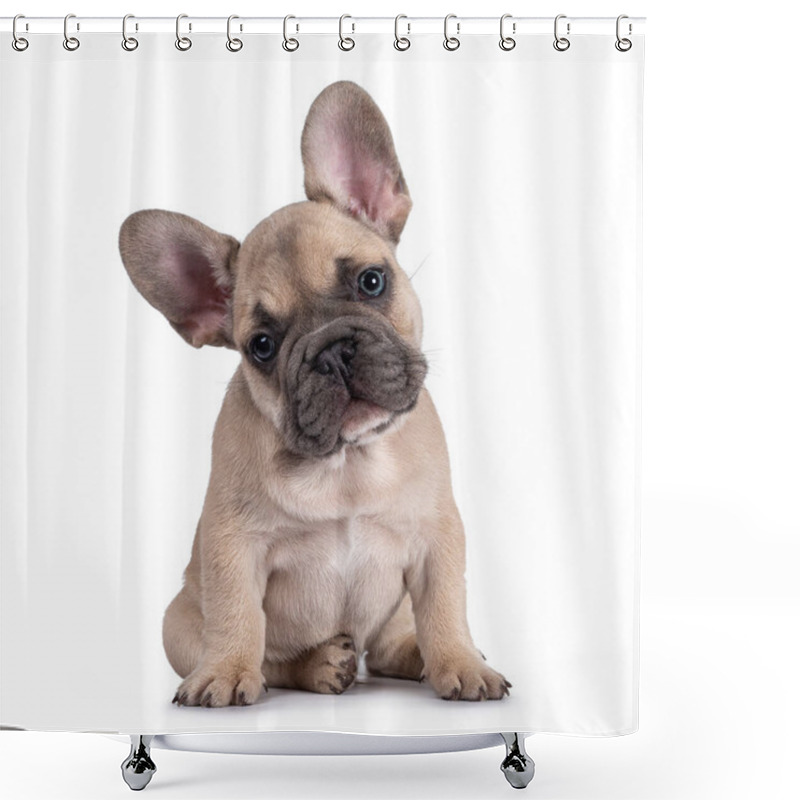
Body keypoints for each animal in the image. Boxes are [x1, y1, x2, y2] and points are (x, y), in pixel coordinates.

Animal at [120, 81, 506, 708]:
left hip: (396, 611)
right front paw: (226, 671)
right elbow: (238, 616)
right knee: (274, 660)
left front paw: (460, 661)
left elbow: (446, 605)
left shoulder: (438, 536)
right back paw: (320, 664)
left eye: (371, 281)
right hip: (176, 623)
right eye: (262, 345)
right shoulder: (232, 545)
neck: (347, 464)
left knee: (392, 643)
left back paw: (418, 656)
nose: (330, 351)